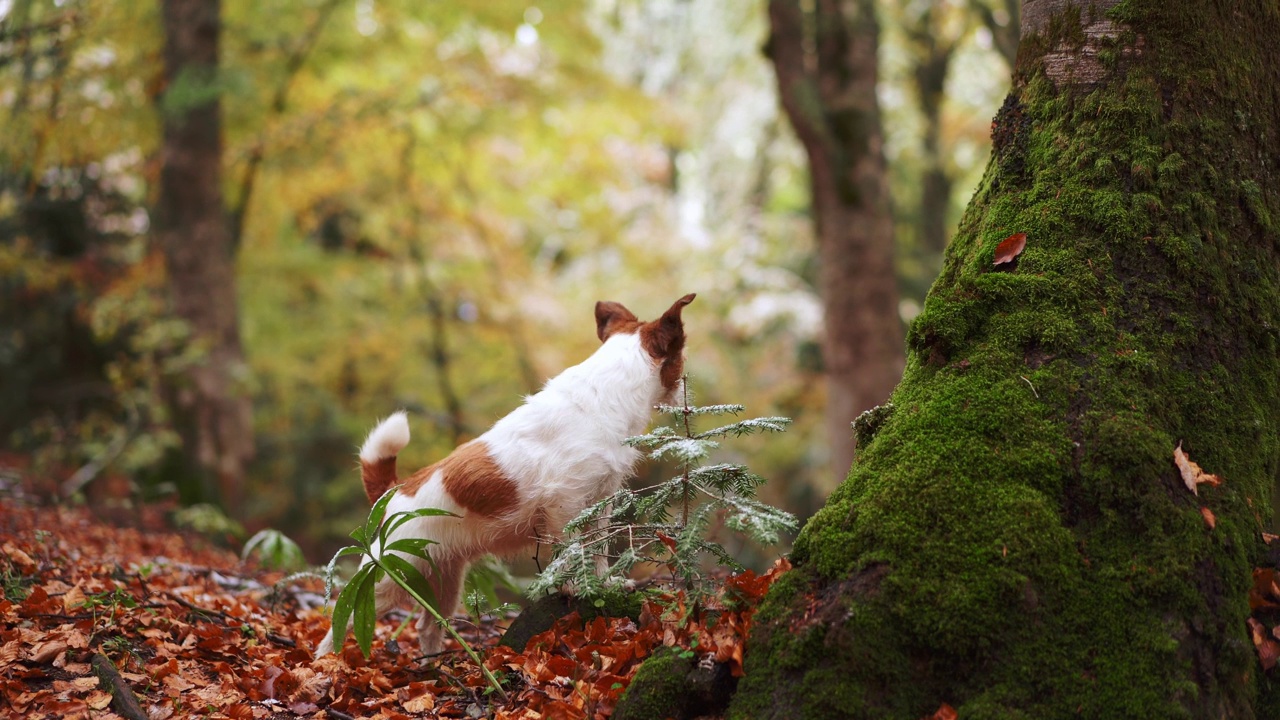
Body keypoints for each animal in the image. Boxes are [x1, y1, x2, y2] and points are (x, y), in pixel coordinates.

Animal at [314, 293, 696, 655]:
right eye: (681, 358)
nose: (687, 395)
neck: (606, 393)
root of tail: (394, 490)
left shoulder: (599, 502)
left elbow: (597, 548)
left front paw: (603, 583)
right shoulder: (565, 504)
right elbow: (574, 549)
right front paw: (576, 586)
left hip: (443, 580)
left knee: (429, 626)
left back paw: (432, 666)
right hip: (388, 576)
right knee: (341, 623)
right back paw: (327, 663)